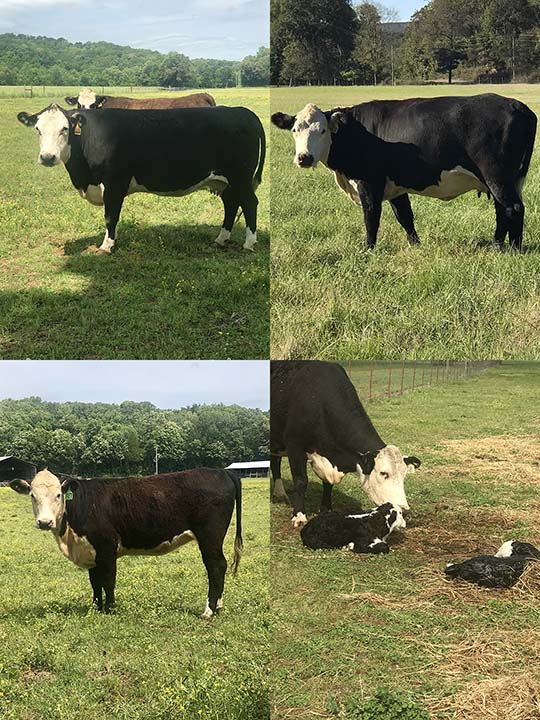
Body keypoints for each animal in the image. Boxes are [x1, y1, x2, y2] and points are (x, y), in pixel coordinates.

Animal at [9, 467, 242, 617]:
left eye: (58, 495)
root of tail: (221, 471)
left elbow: (108, 581)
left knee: (216, 567)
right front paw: (96, 608)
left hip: (210, 537)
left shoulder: (107, 547)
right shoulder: (91, 551)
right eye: (32, 495)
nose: (44, 522)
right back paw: (218, 605)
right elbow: (95, 582)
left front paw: (110, 609)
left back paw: (209, 610)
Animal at [17, 103, 265, 253]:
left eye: (65, 129)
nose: (47, 157)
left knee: (250, 204)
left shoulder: (114, 182)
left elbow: (110, 216)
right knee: (231, 205)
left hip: (240, 178)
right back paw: (221, 239)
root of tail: (242, 111)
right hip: (226, 182)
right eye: (37, 129)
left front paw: (107, 246)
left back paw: (249, 243)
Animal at [270, 360, 421, 527]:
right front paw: (299, 515)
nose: (404, 509)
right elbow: (301, 481)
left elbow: (327, 484)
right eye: (384, 473)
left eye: (404, 475)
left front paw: (327, 509)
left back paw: (279, 493)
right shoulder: (295, 445)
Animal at [271, 94, 537, 251]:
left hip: (497, 177)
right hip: (506, 180)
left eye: (323, 130)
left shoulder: (369, 182)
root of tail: (517, 105)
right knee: (503, 210)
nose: (304, 158)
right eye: (294, 130)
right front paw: (415, 244)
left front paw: (368, 249)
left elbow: (371, 217)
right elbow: (405, 217)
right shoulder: (396, 185)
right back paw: (497, 244)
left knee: (513, 208)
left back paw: (513, 248)